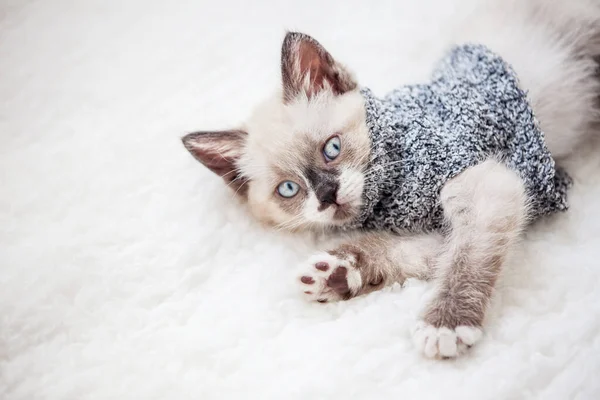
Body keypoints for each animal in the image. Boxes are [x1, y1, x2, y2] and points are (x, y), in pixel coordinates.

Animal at [182, 0, 600, 356]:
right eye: (289, 189)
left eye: (332, 149)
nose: (328, 196)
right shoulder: (440, 227)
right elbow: (406, 251)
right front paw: (340, 273)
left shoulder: (489, 187)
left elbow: (465, 259)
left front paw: (445, 324)